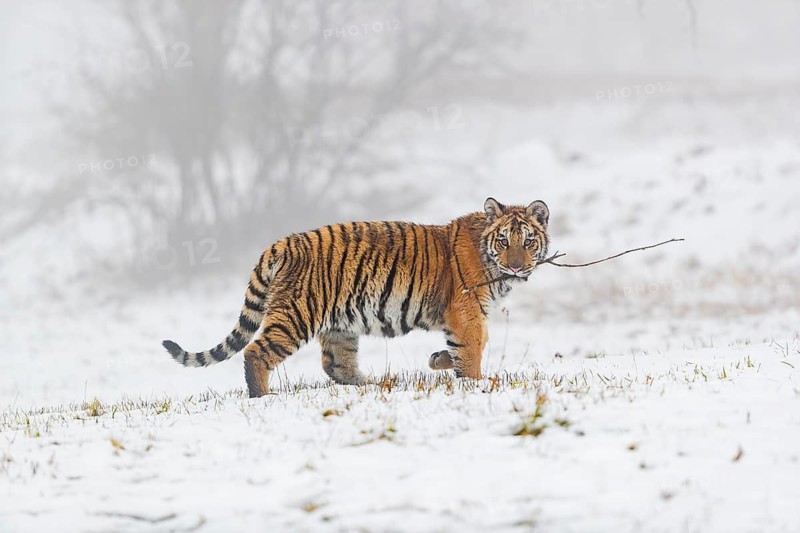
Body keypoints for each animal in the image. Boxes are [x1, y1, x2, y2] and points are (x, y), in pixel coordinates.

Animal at [162, 197, 550, 398]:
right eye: (504, 241)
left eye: (529, 241)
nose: (517, 266)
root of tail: (282, 243)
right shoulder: (468, 310)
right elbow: (474, 347)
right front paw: (476, 382)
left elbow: (459, 349)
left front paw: (440, 360)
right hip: (296, 314)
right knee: (257, 352)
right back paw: (262, 397)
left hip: (339, 325)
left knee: (336, 365)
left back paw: (374, 384)